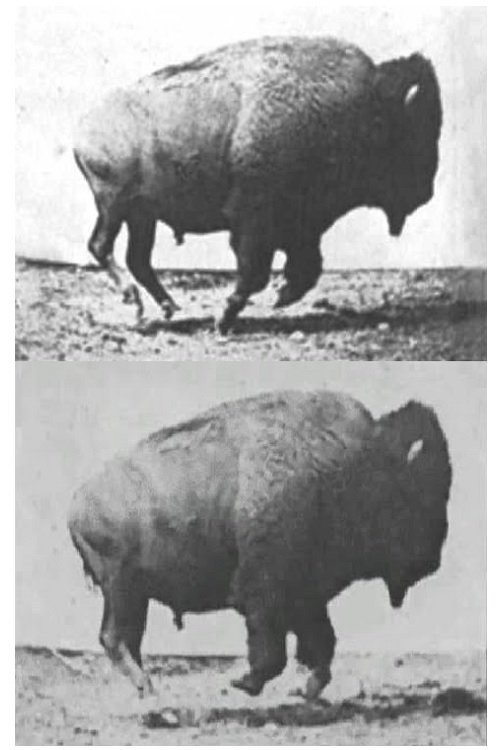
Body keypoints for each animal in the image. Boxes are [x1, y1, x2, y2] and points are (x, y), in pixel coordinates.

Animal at [68, 390, 451, 701]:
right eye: (416, 494)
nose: (433, 560)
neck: (360, 465)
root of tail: (77, 504)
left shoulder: (308, 595)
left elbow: (321, 643)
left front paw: (306, 690)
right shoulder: (267, 594)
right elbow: (273, 650)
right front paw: (245, 683)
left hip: (133, 594)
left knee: (123, 638)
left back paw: (148, 690)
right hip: (123, 588)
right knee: (116, 637)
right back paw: (148, 689)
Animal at [74, 36, 442, 332]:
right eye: (413, 132)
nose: (426, 193)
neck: (365, 108)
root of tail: (83, 131)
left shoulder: (302, 226)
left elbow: (306, 267)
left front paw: (280, 298)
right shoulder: (253, 220)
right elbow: (256, 271)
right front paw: (224, 319)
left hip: (142, 216)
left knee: (137, 257)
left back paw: (169, 307)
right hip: (114, 206)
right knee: (102, 246)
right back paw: (138, 304)